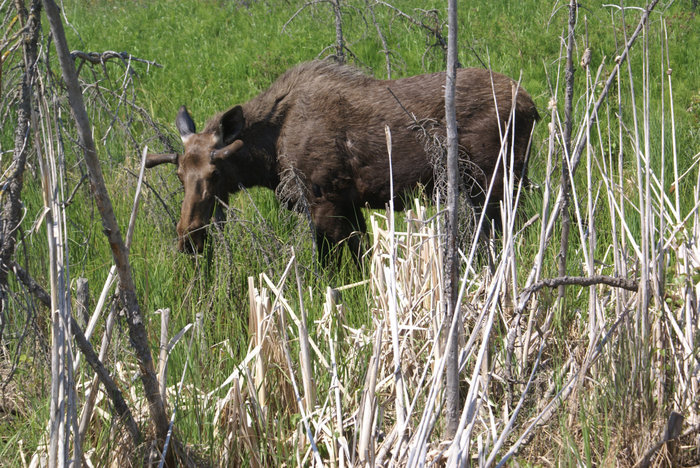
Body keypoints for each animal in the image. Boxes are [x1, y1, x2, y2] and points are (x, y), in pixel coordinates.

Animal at [148, 60, 540, 262]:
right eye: (179, 174)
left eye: (215, 173)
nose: (188, 236)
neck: (269, 158)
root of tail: (532, 106)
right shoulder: (349, 205)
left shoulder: (324, 201)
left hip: (495, 182)